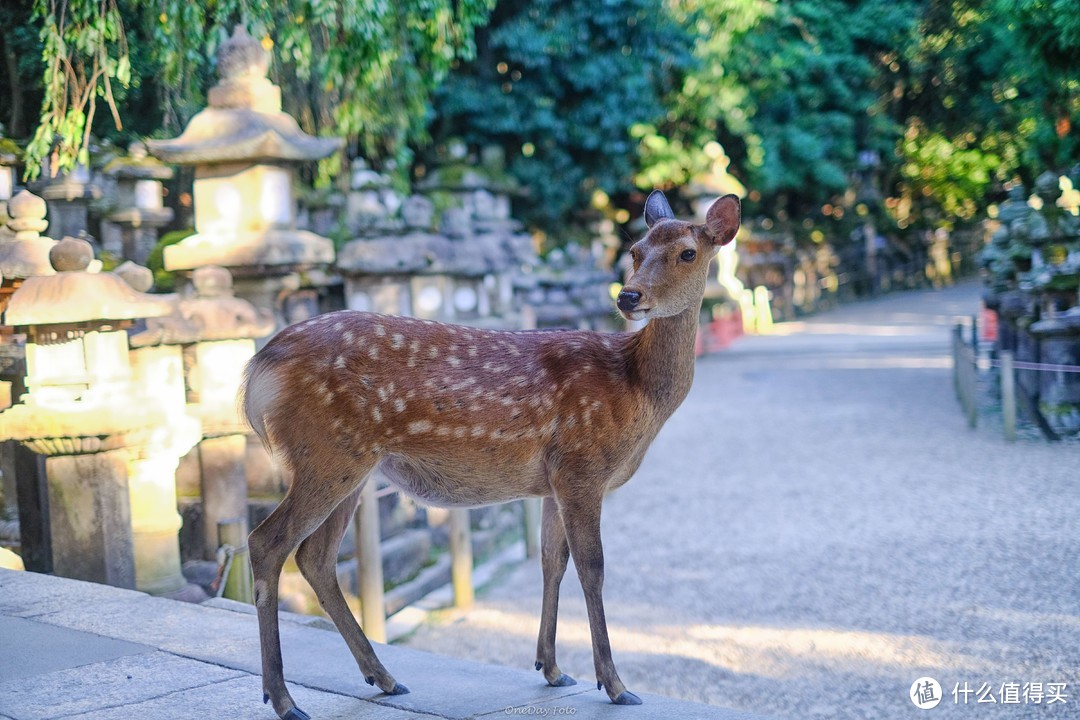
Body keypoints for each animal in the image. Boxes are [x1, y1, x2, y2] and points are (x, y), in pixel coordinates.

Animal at [239, 188, 738, 716]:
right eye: (636, 251)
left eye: (688, 252)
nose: (628, 297)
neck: (635, 390)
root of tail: (258, 369)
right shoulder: (583, 466)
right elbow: (593, 566)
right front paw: (615, 684)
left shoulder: (554, 480)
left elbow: (551, 561)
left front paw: (552, 669)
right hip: (328, 452)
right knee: (267, 542)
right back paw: (283, 697)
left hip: (351, 465)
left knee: (315, 556)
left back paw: (384, 677)